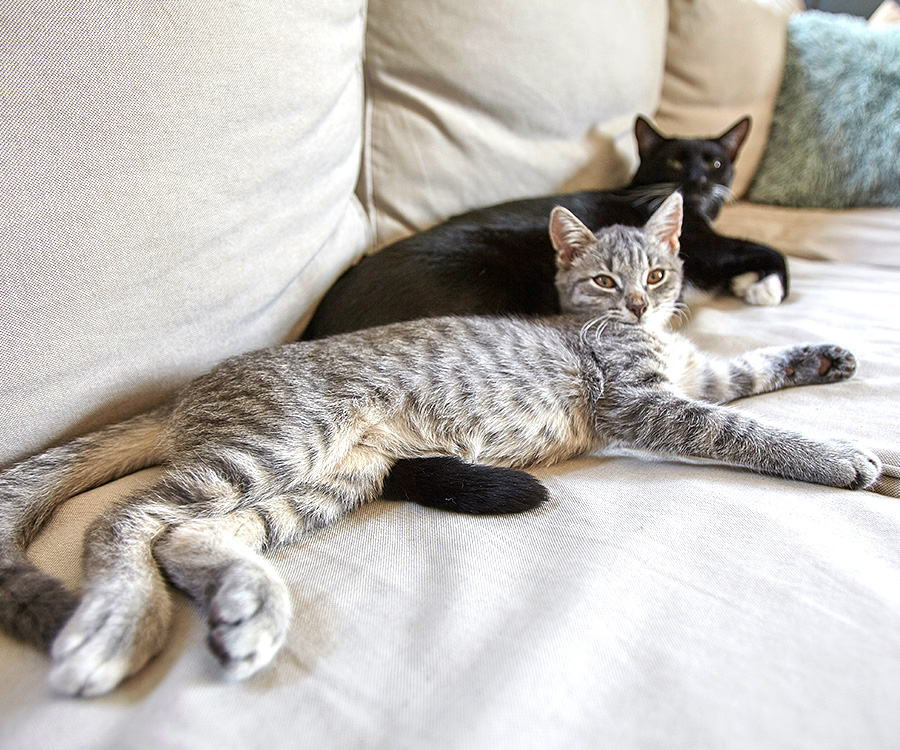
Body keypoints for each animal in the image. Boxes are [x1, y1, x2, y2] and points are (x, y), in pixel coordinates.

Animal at [0, 192, 880, 700]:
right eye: (604, 280)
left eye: (659, 275)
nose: (636, 303)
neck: (646, 339)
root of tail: (185, 390)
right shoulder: (641, 404)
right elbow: (744, 429)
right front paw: (840, 455)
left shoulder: (700, 375)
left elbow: (749, 370)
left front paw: (822, 359)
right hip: (276, 446)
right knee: (127, 519)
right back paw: (120, 624)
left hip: (334, 480)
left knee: (189, 536)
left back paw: (248, 610)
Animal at [300, 117, 788, 516]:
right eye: (673, 161)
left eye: (716, 163)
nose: (696, 182)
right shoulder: (709, 248)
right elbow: (771, 251)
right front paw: (764, 287)